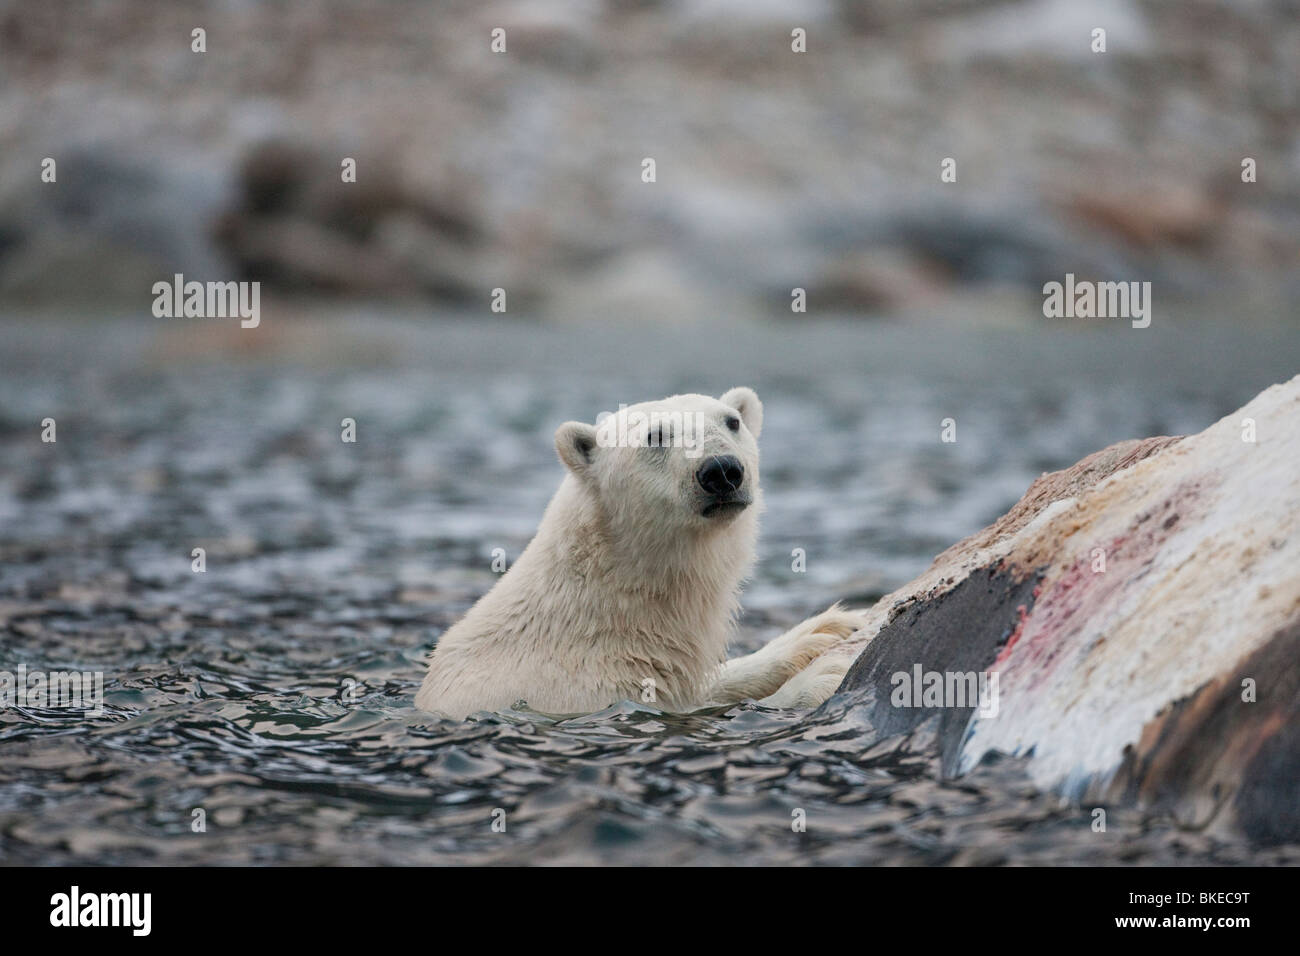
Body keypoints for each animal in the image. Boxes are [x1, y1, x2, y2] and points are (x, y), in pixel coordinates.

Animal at [413, 387, 863, 717]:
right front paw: (824, 674)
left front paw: (823, 632)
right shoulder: (578, 690)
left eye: (732, 422)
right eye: (656, 435)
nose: (721, 471)